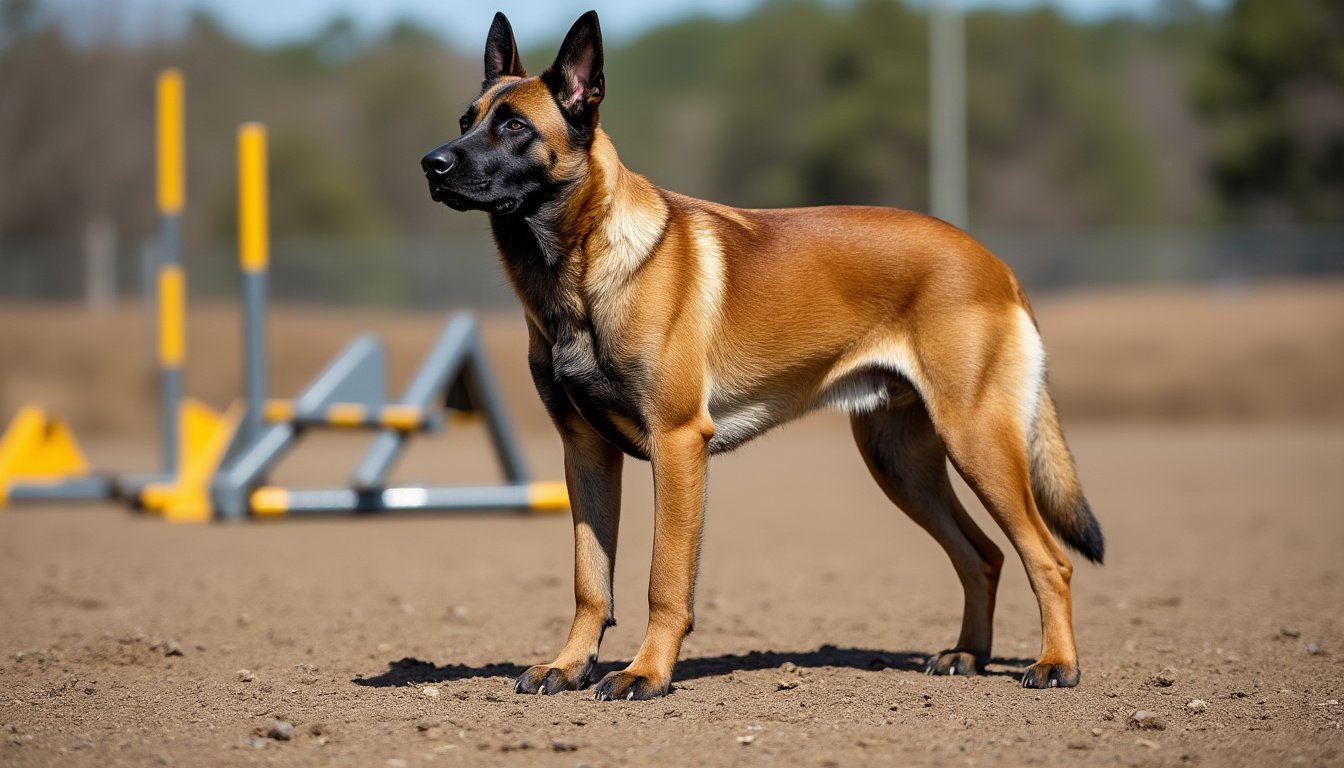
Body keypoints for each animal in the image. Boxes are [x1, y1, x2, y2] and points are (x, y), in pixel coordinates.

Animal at [419, 8, 1102, 704]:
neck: (582, 273)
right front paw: (567, 666)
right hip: (903, 463)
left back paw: (1056, 664)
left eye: (515, 126)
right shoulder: (585, 453)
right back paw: (967, 655)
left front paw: (646, 672)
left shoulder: (678, 444)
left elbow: (664, 580)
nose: (431, 164)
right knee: (982, 555)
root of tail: (995, 265)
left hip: (976, 441)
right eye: (466, 119)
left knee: (1049, 559)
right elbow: (591, 582)